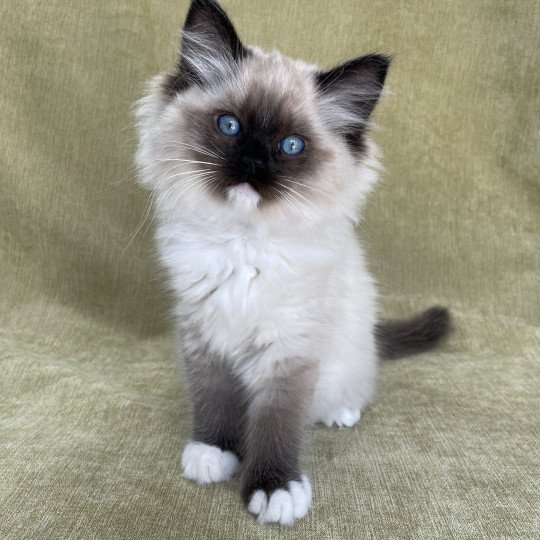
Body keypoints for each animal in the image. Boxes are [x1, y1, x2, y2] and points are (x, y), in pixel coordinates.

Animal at [136, 0, 452, 524]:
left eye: (291, 146)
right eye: (229, 126)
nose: (252, 165)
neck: (243, 248)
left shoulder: (290, 349)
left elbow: (277, 422)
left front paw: (274, 489)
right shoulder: (203, 332)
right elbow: (213, 398)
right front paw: (213, 452)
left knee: (349, 385)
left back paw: (340, 412)